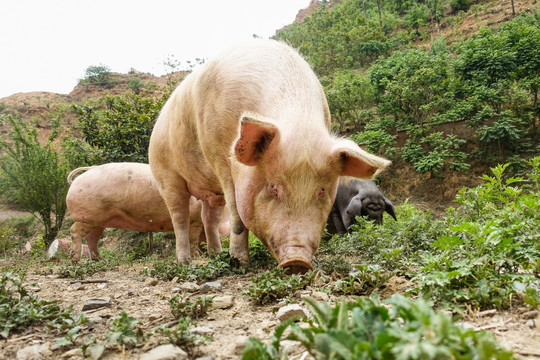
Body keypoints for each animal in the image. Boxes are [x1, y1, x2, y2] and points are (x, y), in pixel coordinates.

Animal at [65, 163, 213, 262]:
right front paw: (198, 257)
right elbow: (193, 240)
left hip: (98, 221)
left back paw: (100, 259)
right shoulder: (194, 220)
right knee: (74, 232)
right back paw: (75, 260)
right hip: (87, 216)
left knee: (91, 238)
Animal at [150, 38, 390, 272]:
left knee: (209, 218)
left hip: (211, 193)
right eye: (273, 187)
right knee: (179, 217)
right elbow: (236, 216)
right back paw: (185, 262)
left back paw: (215, 255)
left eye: (322, 190)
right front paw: (240, 264)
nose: (297, 261)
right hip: (165, 175)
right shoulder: (218, 155)